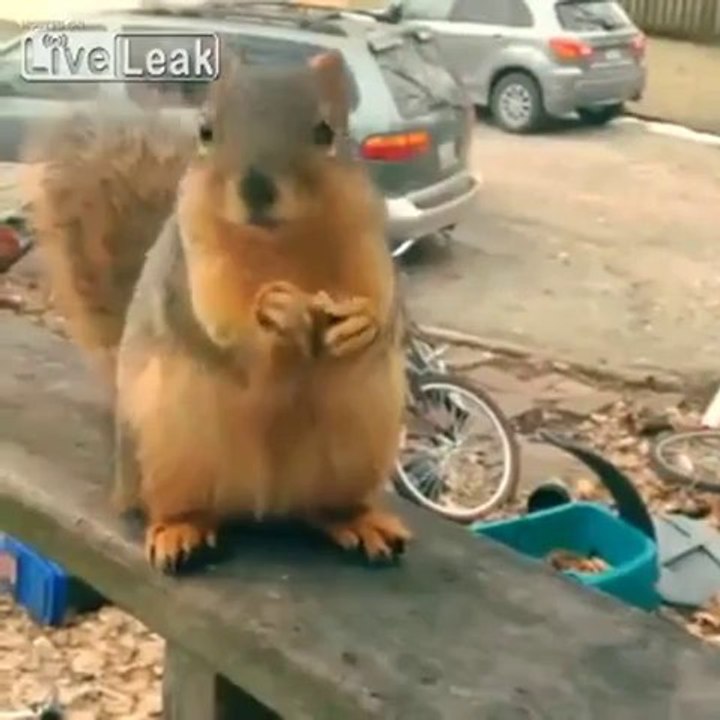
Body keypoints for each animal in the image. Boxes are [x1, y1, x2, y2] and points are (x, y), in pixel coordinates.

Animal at [23, 50, 412, 574]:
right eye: (205, 131)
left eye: (325, 132)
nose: (256, 187)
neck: (279, 243)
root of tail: (266, 503)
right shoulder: (194, 264)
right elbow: (220, 322)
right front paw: (273, 310)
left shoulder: (368, 243)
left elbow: (382, 302)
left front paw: (362, 323)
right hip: (166, 446)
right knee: (173, 504)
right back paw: (178, 531)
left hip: (357, 448)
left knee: (326, 507)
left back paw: (360, 521)